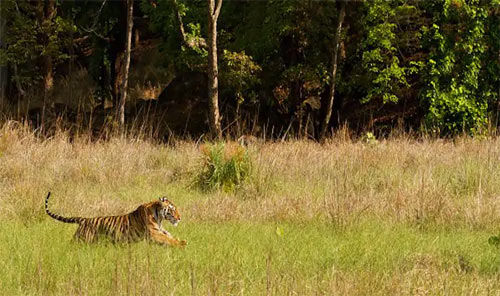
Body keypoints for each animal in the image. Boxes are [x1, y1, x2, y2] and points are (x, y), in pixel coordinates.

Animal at [43, 192, 187, 247]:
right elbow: (168, 240)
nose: (180, 218)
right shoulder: (154, 233)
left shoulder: (161, 231)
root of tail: (83, 219)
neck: (159, 216)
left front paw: (183, 242)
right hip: (81, 238)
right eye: (173, 209)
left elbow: (171, 237)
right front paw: (180, 245)